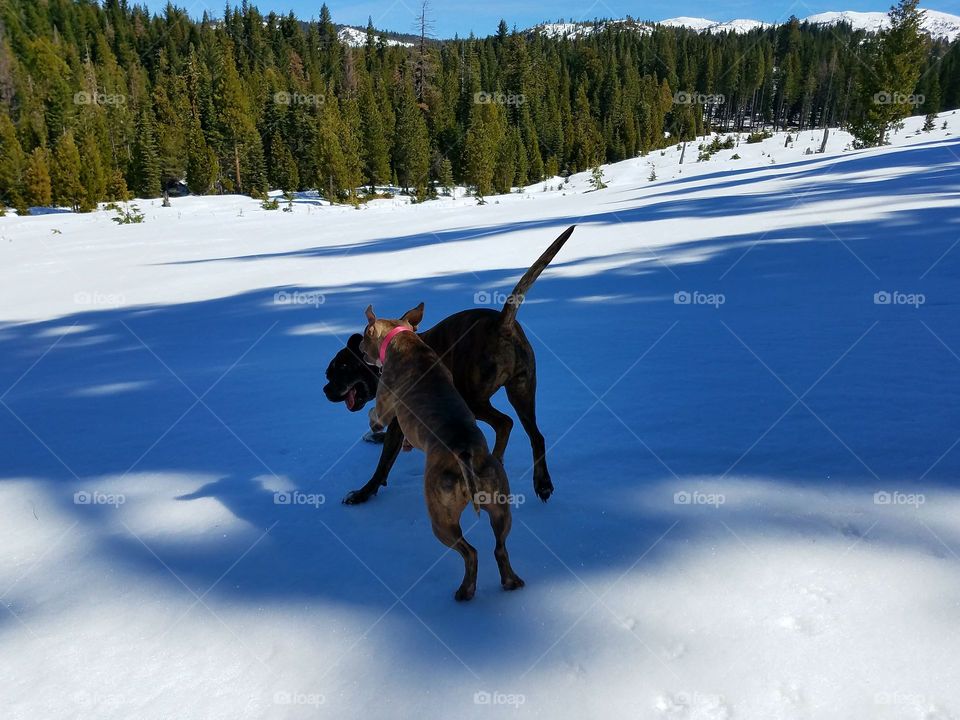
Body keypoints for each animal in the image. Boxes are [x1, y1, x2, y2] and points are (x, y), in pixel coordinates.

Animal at [322, 228, 576, 504]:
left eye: (340, 368)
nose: (325, 390)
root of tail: (501, 324)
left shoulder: (400, 423)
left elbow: (383, 463)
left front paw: (362, 493)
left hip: (473, 399)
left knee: (505, 423)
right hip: (522, 390)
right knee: (535, 436)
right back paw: (541, 482)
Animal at [360, 300, 524, 600]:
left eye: (364, 337)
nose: (361, 349)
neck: (403, 338)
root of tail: (465, 454)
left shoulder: (385, 402)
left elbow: (376, 415)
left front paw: (373, 426)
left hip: (441, 518)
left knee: (470, 552)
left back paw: (465, 591)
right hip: (499, 506)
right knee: (499, 546)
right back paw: (510, 581)